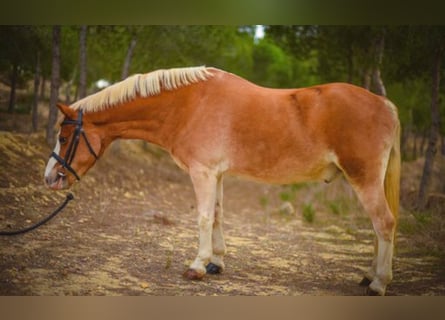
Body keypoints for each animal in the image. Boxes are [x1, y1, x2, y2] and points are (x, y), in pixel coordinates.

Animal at [44, 66, 398, 296]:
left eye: (63, 137)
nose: (50, 178)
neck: (189, 104)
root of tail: (385, 104)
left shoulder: (202, 172)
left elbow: (202, 217)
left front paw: (197, 266)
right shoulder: (216, 174)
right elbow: (216, 215)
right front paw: (216, 263)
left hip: (364, 179)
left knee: (384, 223)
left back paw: (379, 283)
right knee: (377, 228)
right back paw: (369, 276)